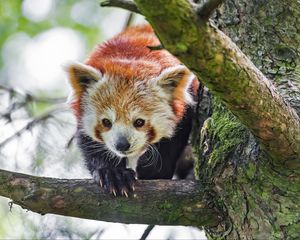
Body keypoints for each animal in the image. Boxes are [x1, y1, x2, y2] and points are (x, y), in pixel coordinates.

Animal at [65, 25, 199, 196]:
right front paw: (113, 173)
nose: (122, 145)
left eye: (139, 122)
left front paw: (153, 172)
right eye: (106, 122)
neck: (131, 54)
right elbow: (89, 143)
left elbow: (174, 139)